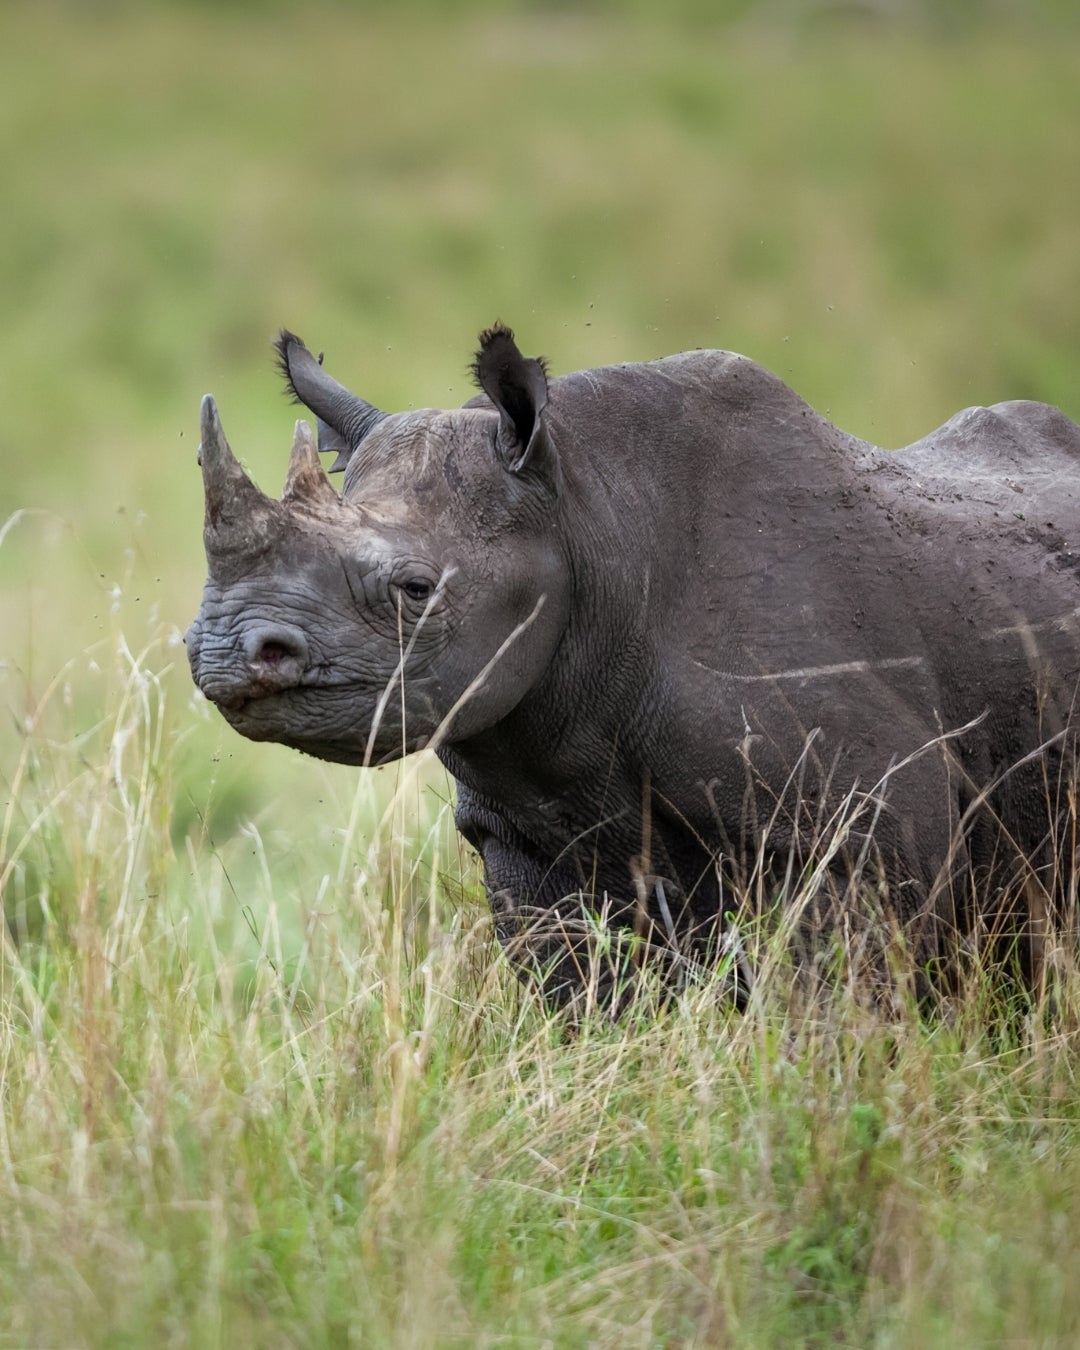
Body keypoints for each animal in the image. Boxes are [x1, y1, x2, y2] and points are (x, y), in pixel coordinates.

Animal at [186, 324, 1080, 1007]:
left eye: (415, 590)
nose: (226, 648)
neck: (585, 521)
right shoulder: (523, 833)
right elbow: (575, 997)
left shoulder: (871, 821)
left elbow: (837, 1008)